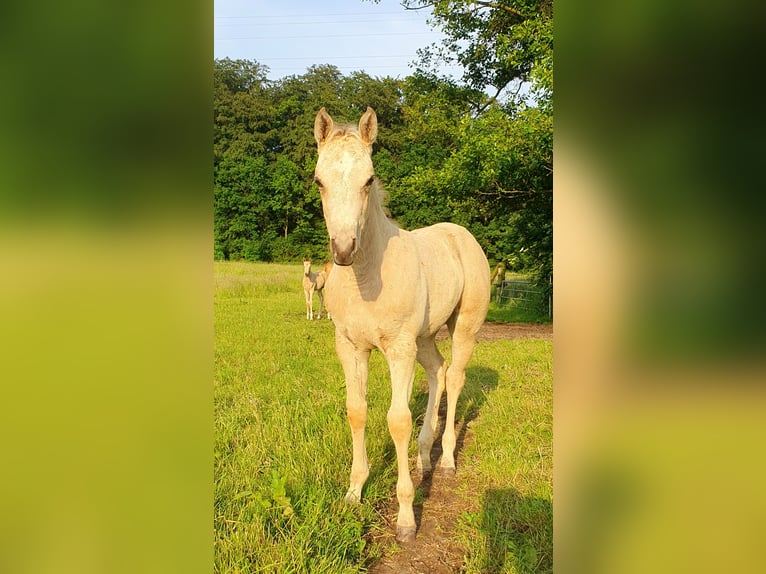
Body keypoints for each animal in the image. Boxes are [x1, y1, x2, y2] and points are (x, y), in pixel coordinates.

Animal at [313, 106, 490, 542]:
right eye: (319, 180)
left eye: (369, 179)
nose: (344, 250)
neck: (366, 278)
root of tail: (460, 233)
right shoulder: (351, 347)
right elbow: (357, 411)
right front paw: (354, 492)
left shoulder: (398, 349)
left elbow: (397, 420)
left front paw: (407, 518)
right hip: (424, 338)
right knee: (437, 371)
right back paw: (424, 457)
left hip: (463, 327)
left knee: (455, 377)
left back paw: (446, 459)